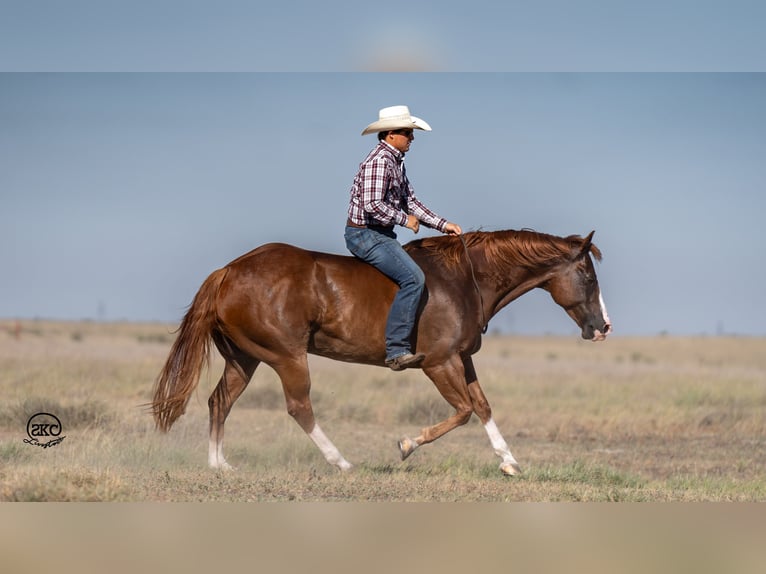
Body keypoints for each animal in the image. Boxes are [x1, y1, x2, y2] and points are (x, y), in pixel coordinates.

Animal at [153, 230, 616, 476]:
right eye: (588, 275)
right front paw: (407, 444)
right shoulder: (438, 362)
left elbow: (483, 407)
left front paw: (509, 462)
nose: (603, 328)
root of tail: (228, 271)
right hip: (287, 357)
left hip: (244, 358)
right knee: (299, 407)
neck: (464, 281)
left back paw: (219, 465)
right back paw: (341, 462)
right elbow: (464, 411)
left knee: (219, 401)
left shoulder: (463, 359)